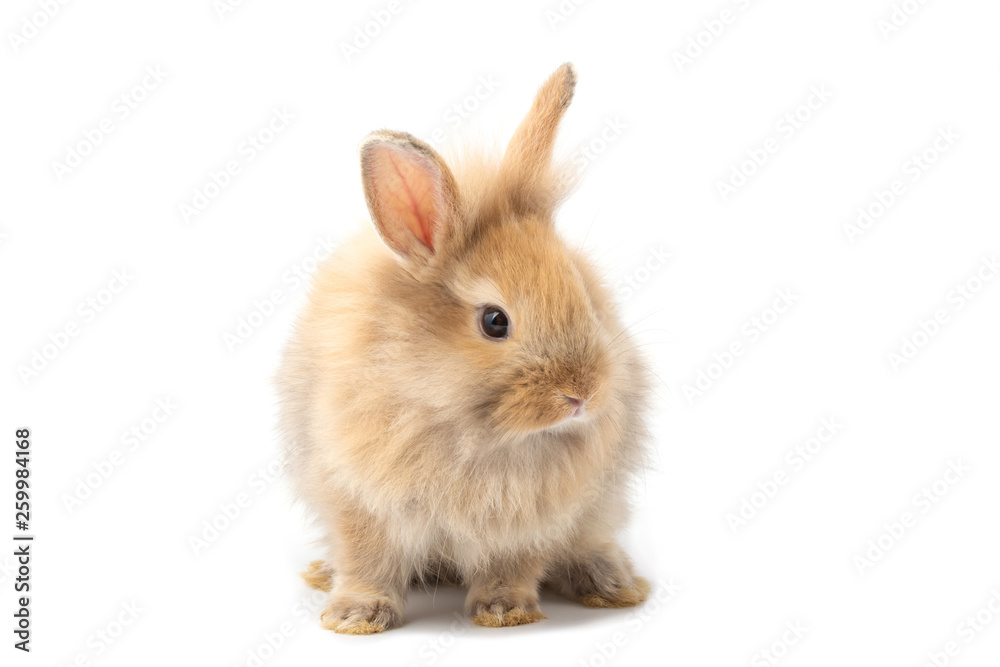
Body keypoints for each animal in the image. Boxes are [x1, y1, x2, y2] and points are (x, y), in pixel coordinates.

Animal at [280, 64, 656, 636]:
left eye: (584, 295)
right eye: (495, 321)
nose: (582, 395)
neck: (477, 432)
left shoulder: (529, 523)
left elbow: (512, 565)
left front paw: (506, 612)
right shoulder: (357, 502)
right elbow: (367, 560)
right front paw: (355, 616)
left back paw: (612, 585)